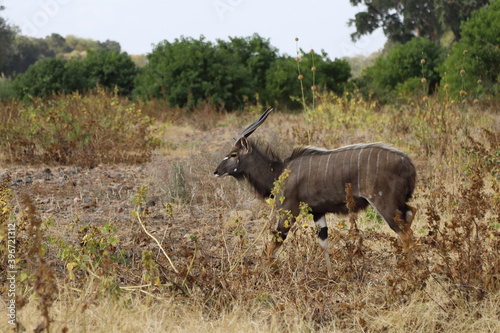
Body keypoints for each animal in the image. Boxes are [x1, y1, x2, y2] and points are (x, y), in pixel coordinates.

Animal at [213, 107, 416, 276]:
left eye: (233, 154)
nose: (216, 171)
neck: (278, 173)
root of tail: (408, 164)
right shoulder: (318, 212)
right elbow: (323, 242)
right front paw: (331, 275)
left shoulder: (289, 212)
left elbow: (273, 243)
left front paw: (265, 272)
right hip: (397, 203)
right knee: (411, 213)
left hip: (384, 203)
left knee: (405, 232)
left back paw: (408, 269)